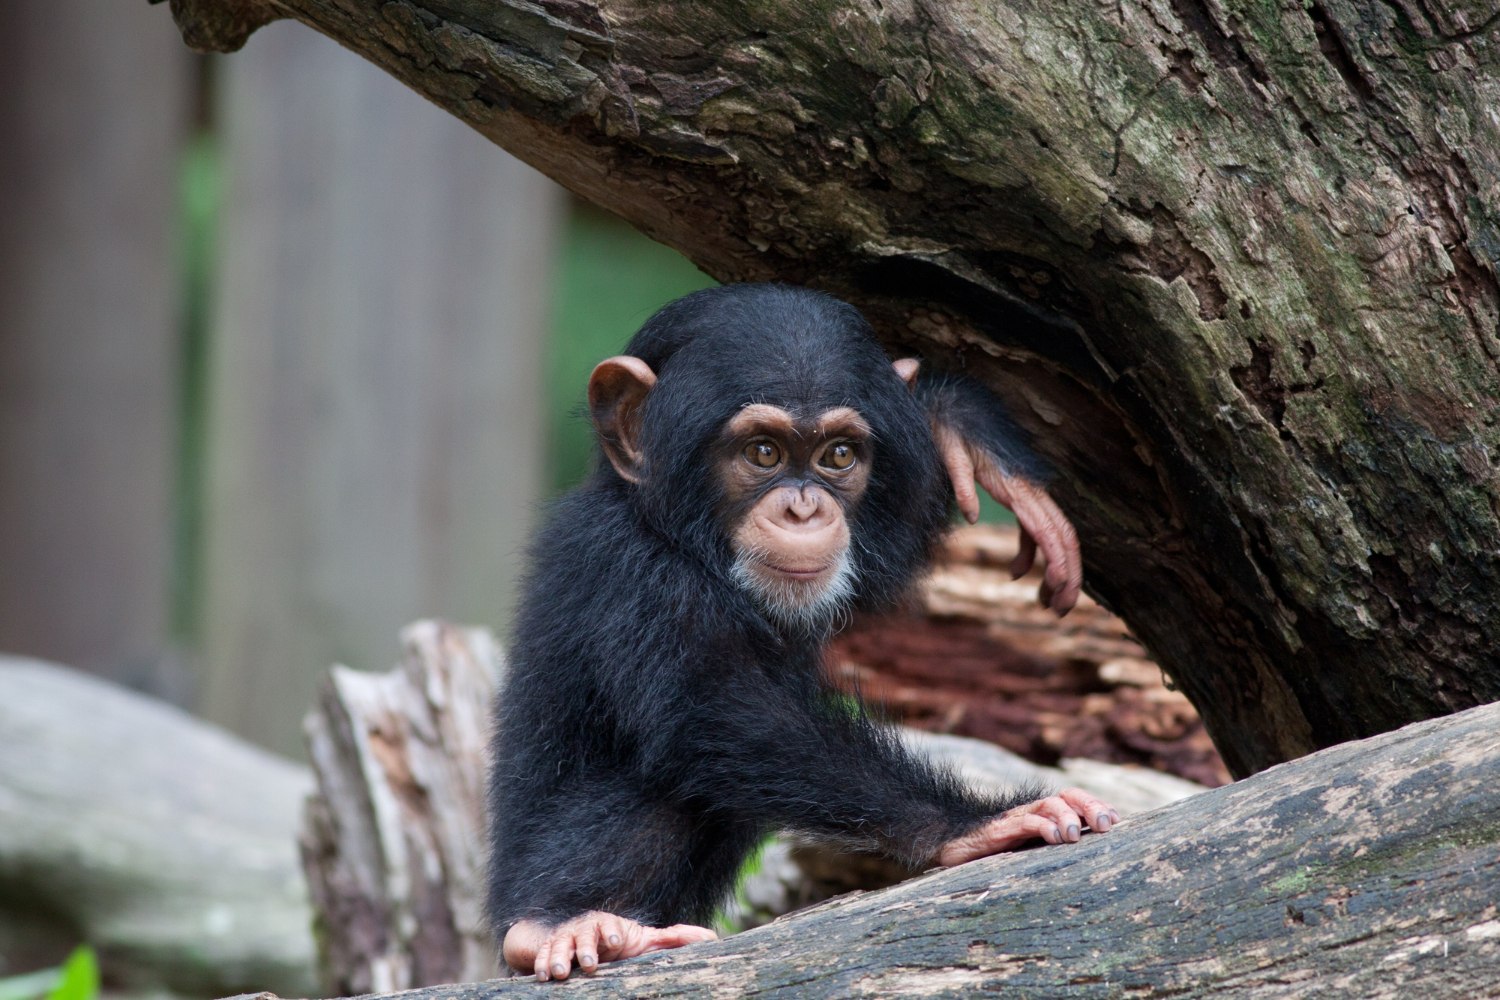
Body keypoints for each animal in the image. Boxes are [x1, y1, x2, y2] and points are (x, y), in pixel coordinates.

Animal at [489, 284, 1116, 983]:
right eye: (763, 451)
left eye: (837, 455)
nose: (803, 508)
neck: (683, 541)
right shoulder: (630, 573)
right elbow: (716, 710)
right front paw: (977, 824)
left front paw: (960, 431)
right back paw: (561, 925)